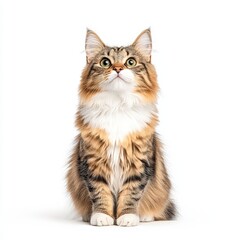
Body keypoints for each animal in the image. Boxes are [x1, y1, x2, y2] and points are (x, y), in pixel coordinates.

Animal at [66, 29, 175, 226]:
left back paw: (145, 216)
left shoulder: (139, 164)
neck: (117, 105)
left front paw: (127, 217)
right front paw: (102, 216)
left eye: (130, 62)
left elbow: (131, 194)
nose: (117, 68)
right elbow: (100, 193)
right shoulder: (93, 163)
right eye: (105, 62)